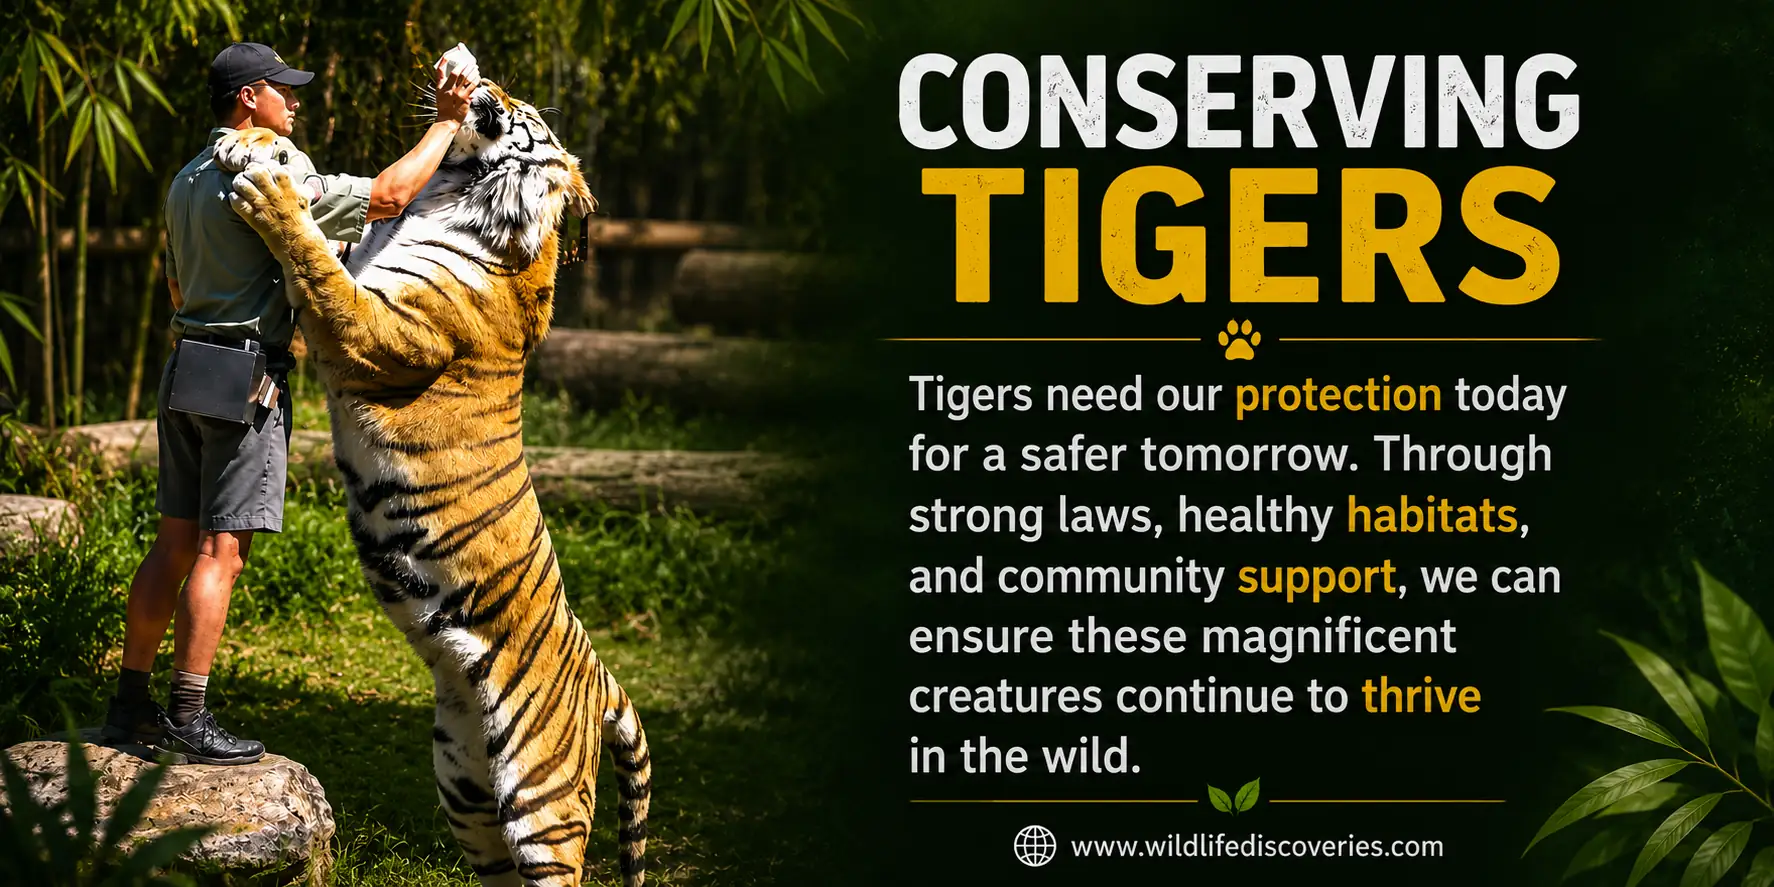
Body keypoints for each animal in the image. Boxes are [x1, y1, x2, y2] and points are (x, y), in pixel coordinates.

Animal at [216, 81, 650, 887]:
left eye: (522, 108)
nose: (479, 84)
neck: (458, 193)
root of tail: (603, 676)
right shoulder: (364, 257)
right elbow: (336, 225)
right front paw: (254, 145)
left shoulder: (384, 331)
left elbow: (317, 261)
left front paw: (270, 194)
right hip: (466, 789)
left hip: (541, 800)